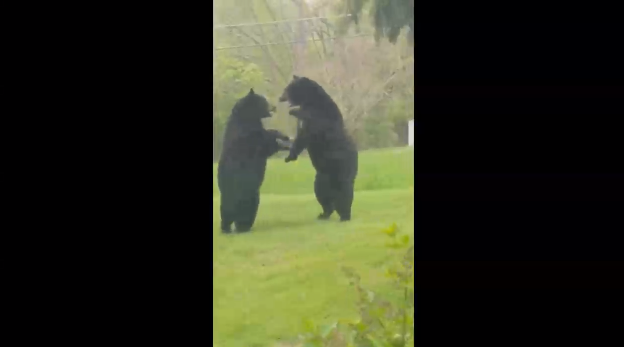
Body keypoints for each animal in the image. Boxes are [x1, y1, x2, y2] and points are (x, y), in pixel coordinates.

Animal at [218, 88, 292, 234]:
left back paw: (227, 228)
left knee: (226, 212)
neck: (248, 116)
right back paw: (242, 227)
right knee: (244, 212)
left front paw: (285, 139)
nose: (274, 106)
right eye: (264, 100)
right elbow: (264, 139)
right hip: (245, 192)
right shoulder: (246, 134)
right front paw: (281, 137)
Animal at [280, 76, 358, 223]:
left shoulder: (322, 116)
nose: (280, 97)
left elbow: (315, 123)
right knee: (322, 196)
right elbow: (300, 139)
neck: (310, 100)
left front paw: (293, 111)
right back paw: (324, 214)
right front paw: (289, 156)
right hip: (321, 178)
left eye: (286, 89)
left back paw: (344, 216)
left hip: (344, 169)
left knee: (345, 192)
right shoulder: (305, 127)